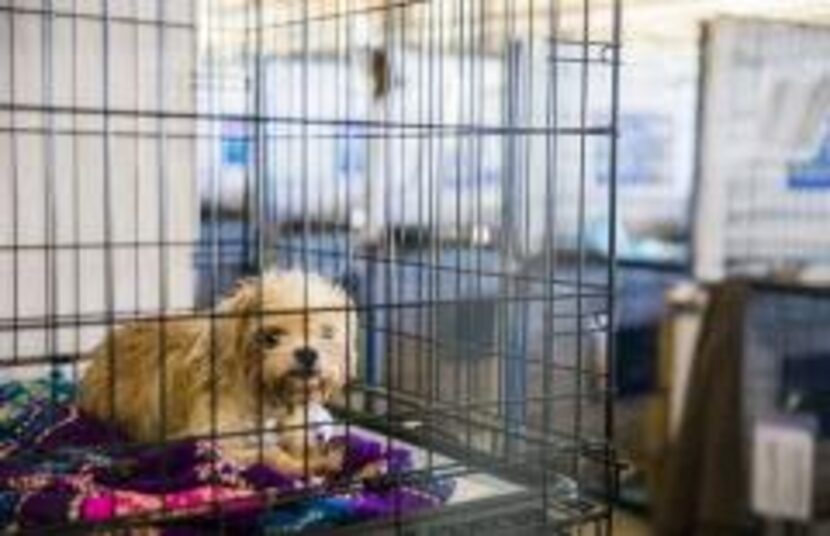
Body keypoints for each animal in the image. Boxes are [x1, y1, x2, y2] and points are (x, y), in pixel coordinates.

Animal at [79, 272, 360, 478]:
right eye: (271, 337)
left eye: (327, 333)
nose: (307, 353)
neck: (262, 392)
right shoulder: (212, 441)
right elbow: (267, 454)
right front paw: (302, 466)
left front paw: (318, 456)